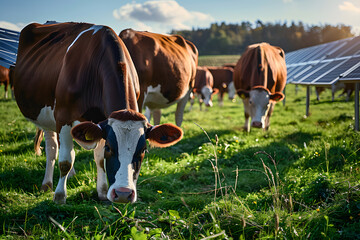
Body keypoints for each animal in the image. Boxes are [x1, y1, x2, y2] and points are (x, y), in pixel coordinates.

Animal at [13, 22, 183, 203]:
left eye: (144, 150)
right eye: (109, 147)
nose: (123, 193)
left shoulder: (102, 122)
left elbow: (100, 160)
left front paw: (102, 192)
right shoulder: (63, 117)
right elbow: (66, 160)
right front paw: (60, 197)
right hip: (45, 117)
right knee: (52, 149)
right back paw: (47, 184)